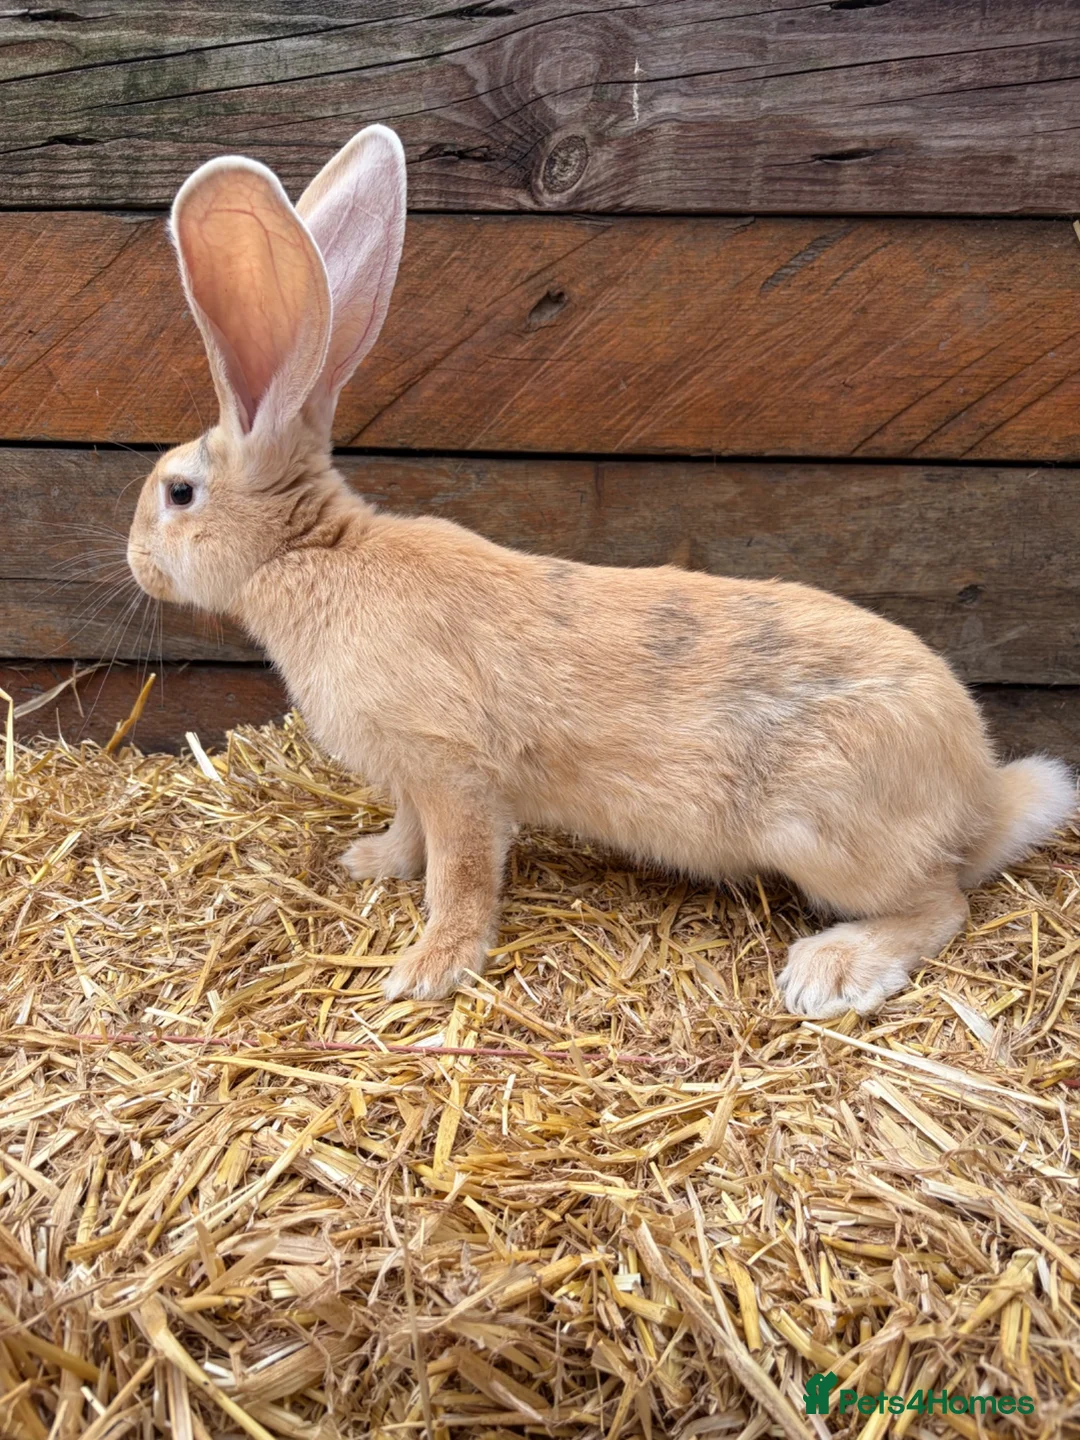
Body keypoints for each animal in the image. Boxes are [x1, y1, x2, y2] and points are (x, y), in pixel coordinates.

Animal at [126, 125, 1075, 1017]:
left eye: (178, 492)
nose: (135, 562)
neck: (311, 552)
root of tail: (979, 795)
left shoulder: (453, 770)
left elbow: (460, 874)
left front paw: (428, 970)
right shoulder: (415, 780)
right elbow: (411, 837)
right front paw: (370, 862)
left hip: (821, 831)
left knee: (942, 904)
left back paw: (831, 970)